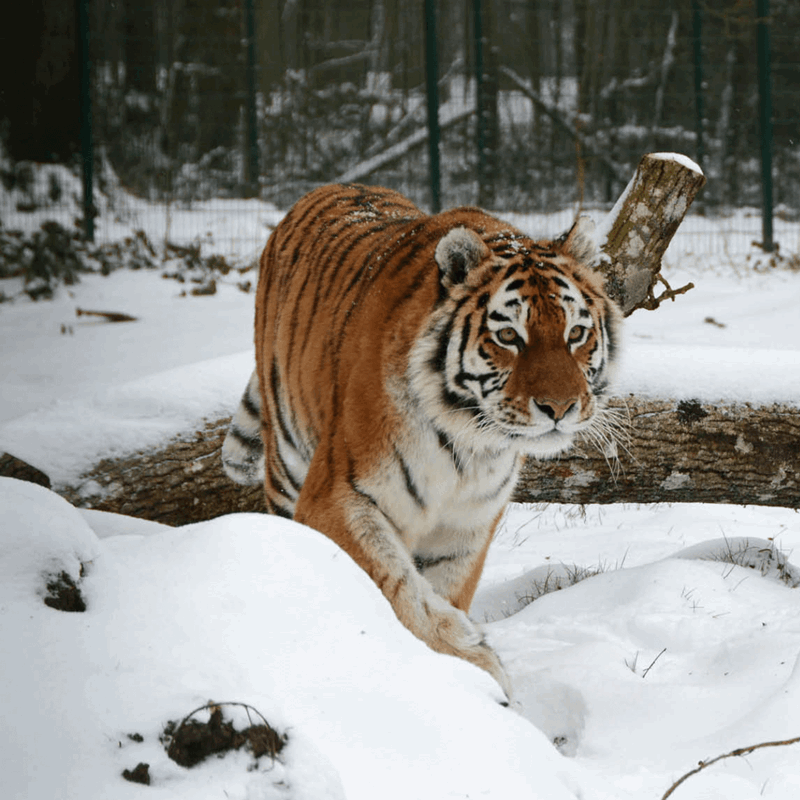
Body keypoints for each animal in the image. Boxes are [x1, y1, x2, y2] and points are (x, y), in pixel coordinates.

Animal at [222, 183, 621, 698]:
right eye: (508, 335)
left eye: (576, 333)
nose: (561, 407)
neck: (469, 442)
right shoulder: (338, 495)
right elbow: (395, 585)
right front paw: (472, 660)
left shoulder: (467, 524)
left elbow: (439, 589)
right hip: (287, 466)